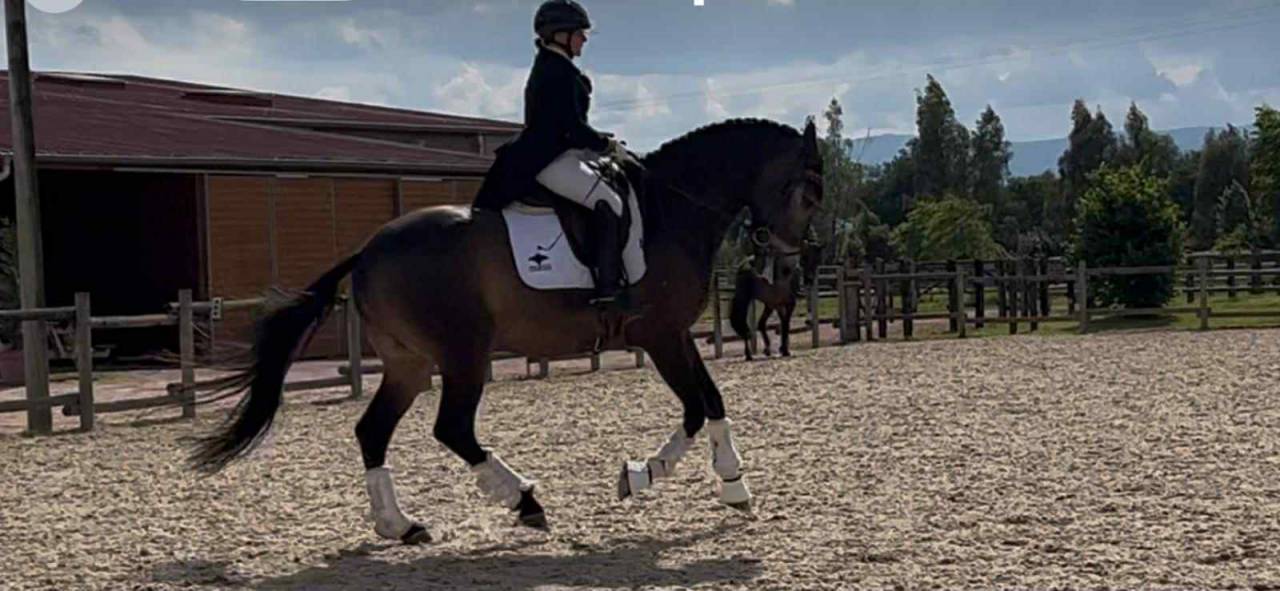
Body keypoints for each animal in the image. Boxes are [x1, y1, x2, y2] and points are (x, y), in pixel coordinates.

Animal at [188, 118, 824, 545]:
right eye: (810, 192)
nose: (790, 268)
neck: (670, 210)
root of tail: (367, 249)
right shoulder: (660, 336)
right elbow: (696, 406)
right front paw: (676, 479)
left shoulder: (676, 335)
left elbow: (709, 401)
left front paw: (711, 482)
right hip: (463, 355)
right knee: (452, 428)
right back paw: (523, 500)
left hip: (409, 363)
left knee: (373, 431)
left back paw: (401, 525)